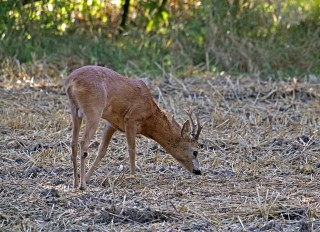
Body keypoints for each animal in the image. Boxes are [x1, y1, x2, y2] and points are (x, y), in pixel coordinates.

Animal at [65, 65, 202, 190]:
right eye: (195, 151)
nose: (199, 171)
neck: (150, 116)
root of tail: (71, 81)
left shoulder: (111, 124)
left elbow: (102, 151)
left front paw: (88, 178)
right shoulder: (131, 120)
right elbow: (132, 150)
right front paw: (133, 177)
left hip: (75, 110)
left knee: (73, 142)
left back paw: (75, 182)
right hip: (94, 111)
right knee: (83, 142)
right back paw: (82, 185)